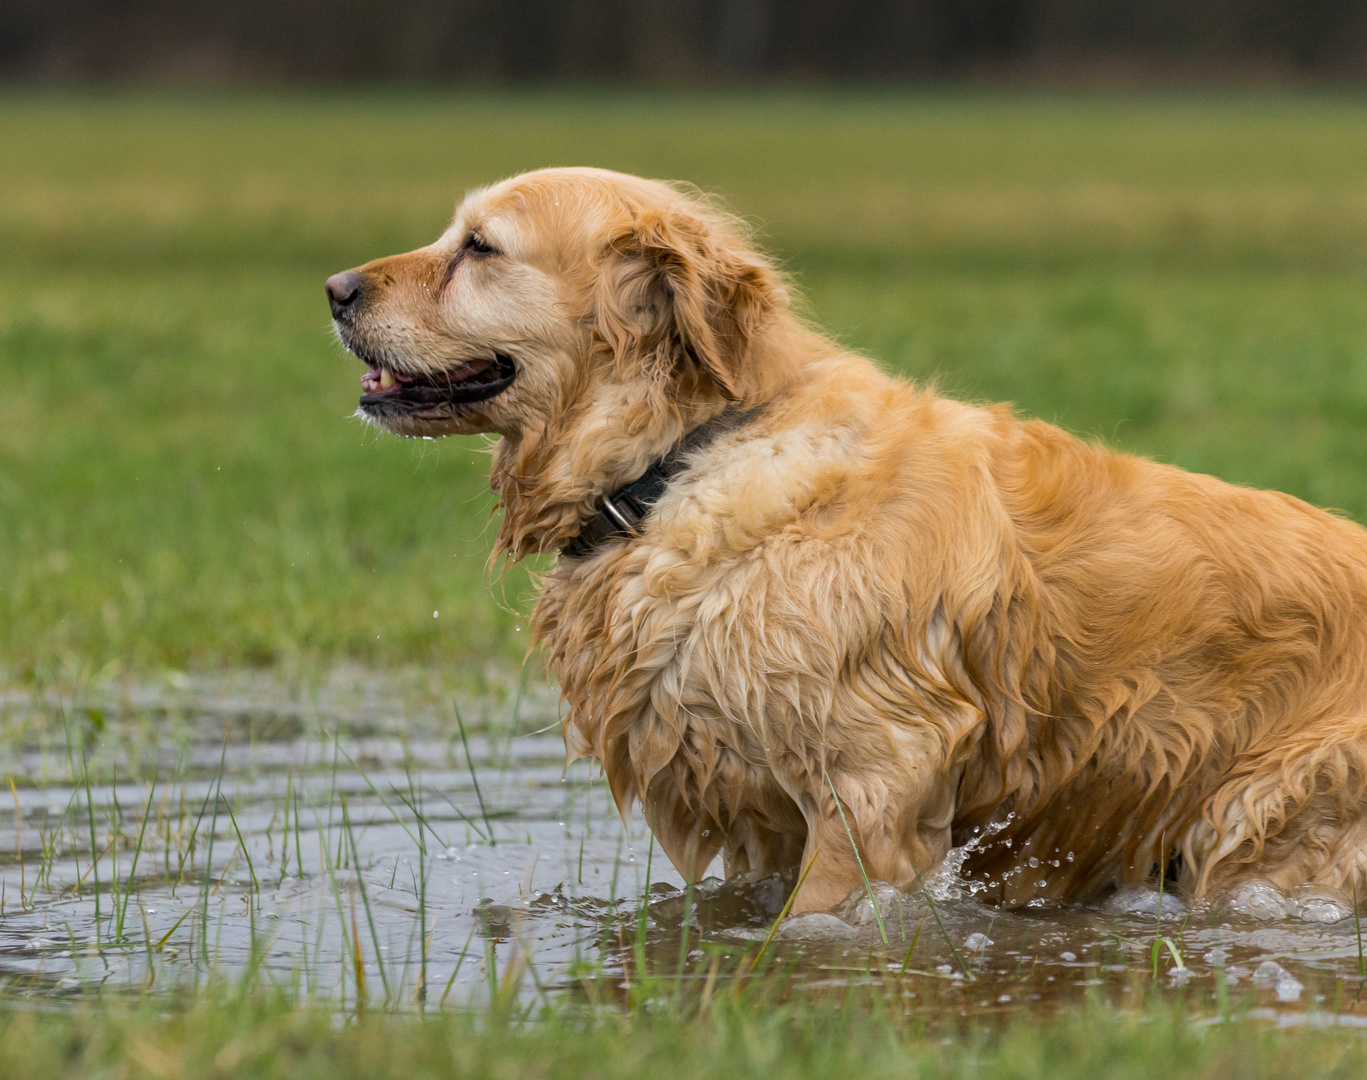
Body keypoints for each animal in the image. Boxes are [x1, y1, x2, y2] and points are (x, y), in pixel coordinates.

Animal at [322, 166, 1367, 913]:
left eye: (480, 247)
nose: (333, 288)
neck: (686, 456)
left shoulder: (873, 781)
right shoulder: (757, 812)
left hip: (1269, 819)